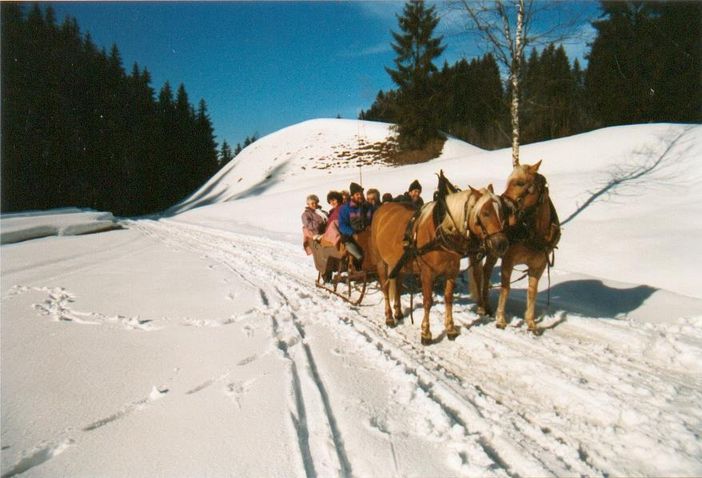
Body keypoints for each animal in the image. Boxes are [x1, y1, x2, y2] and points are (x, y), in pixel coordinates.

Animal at [372, 185, 508, 346]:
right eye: (485, 213)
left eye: (502, 212)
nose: (501, 244)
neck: (441, 234)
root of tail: (382, 209)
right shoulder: (427, 273)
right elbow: (427, 302)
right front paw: (426, 333)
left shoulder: (451, 272)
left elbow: (448, 299)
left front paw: (450, 329)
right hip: (381, 262)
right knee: (385, 288)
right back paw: (389, 317)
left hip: (399, 264)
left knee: (397, 286)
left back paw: (398, 312)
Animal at [472, 161, 568, 332]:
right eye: (508, 181)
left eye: (520, 183)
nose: (504, 205)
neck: (534, 234)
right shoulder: (508, 260)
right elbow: (505, 288)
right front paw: (501, 319)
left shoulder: (539, 265)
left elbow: (532, 291)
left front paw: (531, 322)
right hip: (492, 250)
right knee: (484, 273)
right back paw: (484, 306)